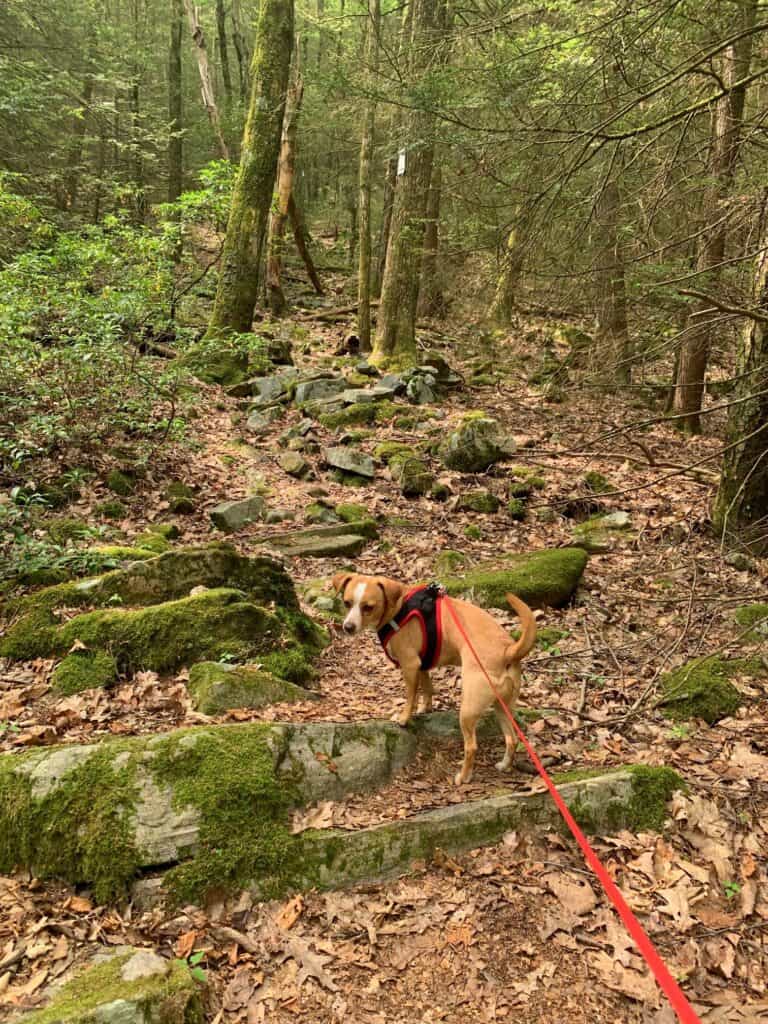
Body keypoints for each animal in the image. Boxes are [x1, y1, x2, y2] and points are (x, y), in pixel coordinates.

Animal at [333, 577, 536, 782]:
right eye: (347, 603)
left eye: (368, 607)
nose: (347, 627)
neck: (399, 607)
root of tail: (507, 651)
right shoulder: (421, 665)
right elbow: (427, 688)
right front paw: (425, 708)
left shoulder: (410, 664)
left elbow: (411, 697)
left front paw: (404, 718)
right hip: (502, 707)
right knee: (512, 739)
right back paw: (504, 765)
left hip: (468, 710)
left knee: (471, 747)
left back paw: (463, 777)